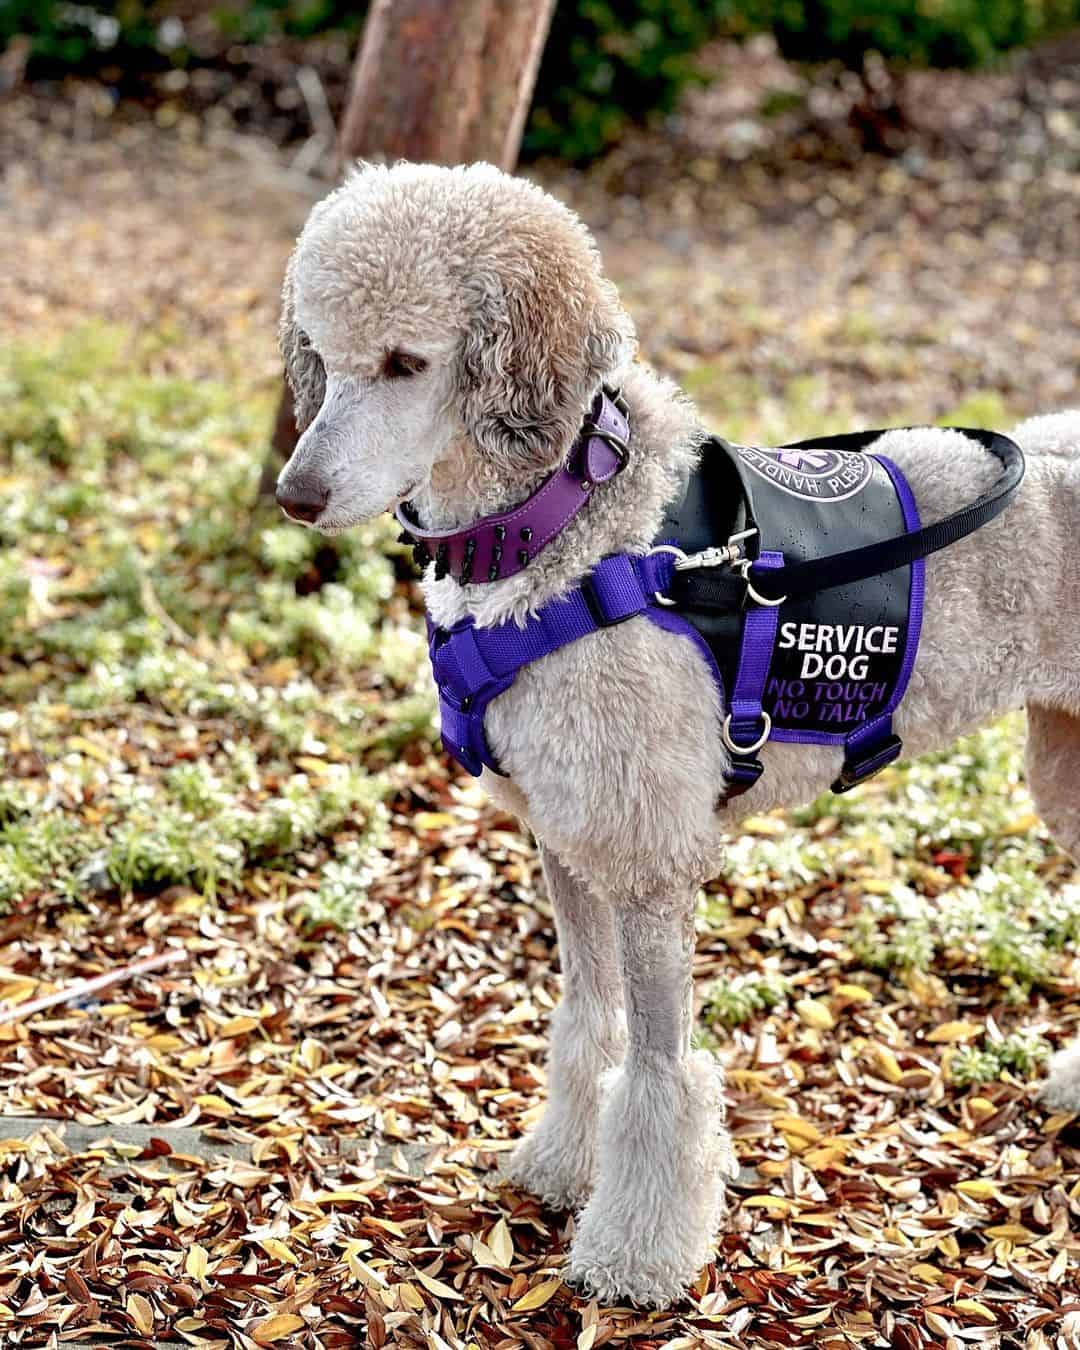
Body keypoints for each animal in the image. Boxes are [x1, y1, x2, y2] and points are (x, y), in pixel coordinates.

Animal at [274, 157, 1080, 1306]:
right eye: (324, 351)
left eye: (405, 363)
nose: (295, 496)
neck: (570, 531)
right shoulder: (567, 834)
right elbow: (590, 1020)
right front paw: (563, 1164)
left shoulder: (650, 857)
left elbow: (662, 1070)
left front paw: (634, 1254)